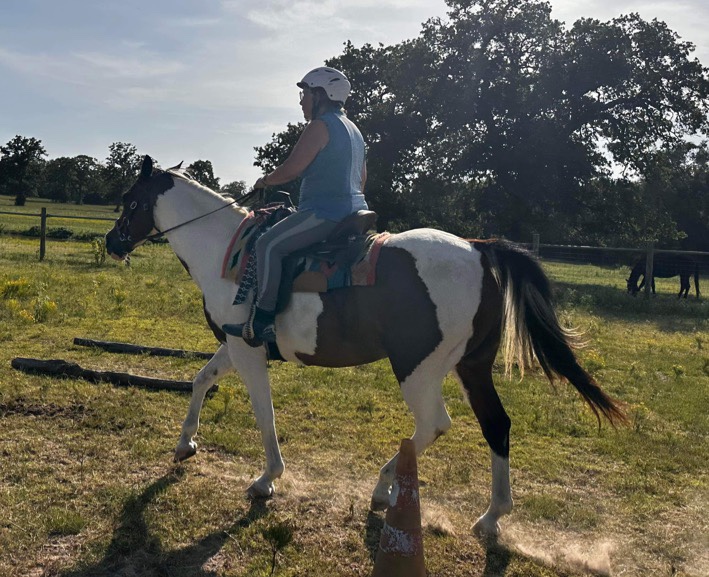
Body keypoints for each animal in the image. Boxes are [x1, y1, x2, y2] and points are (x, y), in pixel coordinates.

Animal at [105, 156, 625, 537]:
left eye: (130, 200)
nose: (112, 241)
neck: (226, 253)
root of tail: (479, 249)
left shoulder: (247, 350)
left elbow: (263, 412)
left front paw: (267, 479)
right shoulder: (234, 345)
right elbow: (199, 380)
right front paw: (185, 444)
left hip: (417, 368)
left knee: (434, 424)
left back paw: (383, 488)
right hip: (472, 367)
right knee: (495, 425)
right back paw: (491, 516)